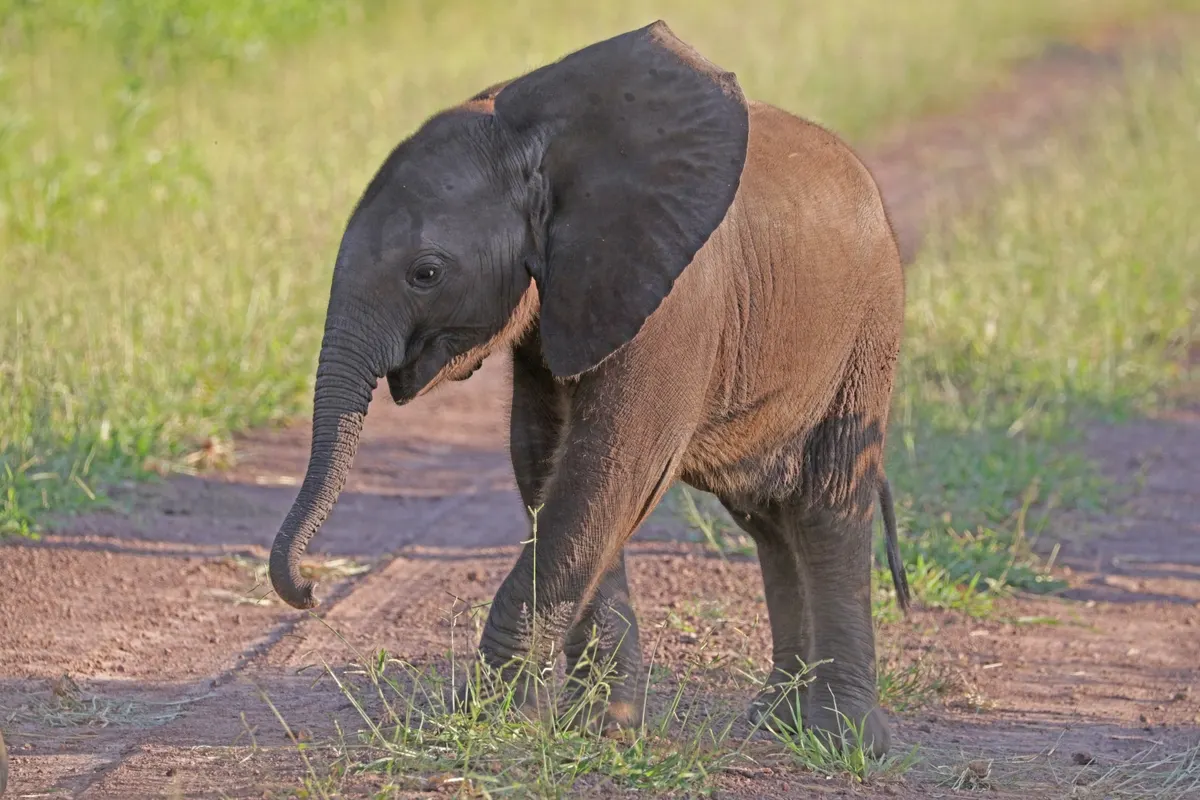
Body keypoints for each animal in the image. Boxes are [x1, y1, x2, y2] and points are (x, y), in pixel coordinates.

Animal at [267, 20, 910, 756]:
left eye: (425, 273)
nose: (310, 590)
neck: (538, 142)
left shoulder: (677, 299)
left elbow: (608, 471)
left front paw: (485, 721)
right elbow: (545, 463)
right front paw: (602, 725)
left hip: (867, 334)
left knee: (827, 504)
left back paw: (840, 739)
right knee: (770, 520)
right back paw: (775, 721)